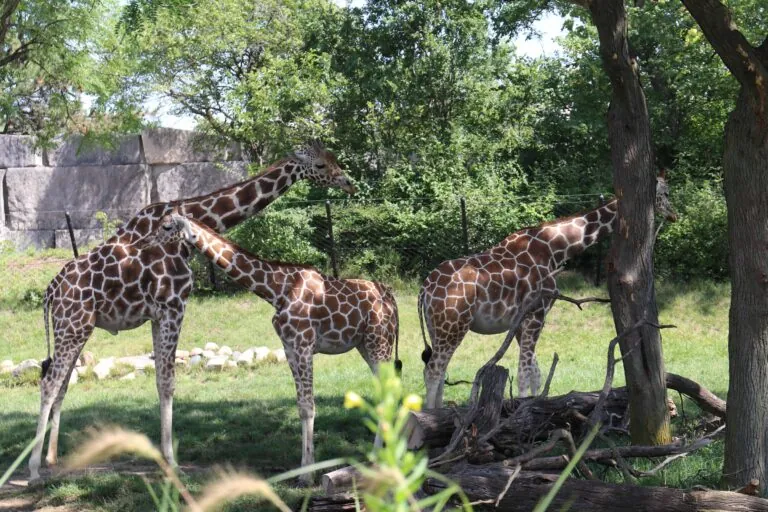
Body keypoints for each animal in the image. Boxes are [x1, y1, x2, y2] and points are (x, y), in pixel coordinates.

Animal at [28, 139, 356, 480]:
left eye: (332, 157)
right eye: (319, 165)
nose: (349, 183)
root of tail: (51, 290)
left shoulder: (158, 314)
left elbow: (161, 381)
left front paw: (164, 457)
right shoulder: (174, 306)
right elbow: (168, 382)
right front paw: (172, 462)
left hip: (77, 327)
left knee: (61, 382)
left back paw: (52, 459)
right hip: (73, 324)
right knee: (49, 382)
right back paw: (34, 468)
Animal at [151, 212, 402, 484]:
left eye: (167, 226)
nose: (148, 245)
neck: (276, 290)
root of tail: (392, 300)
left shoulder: (303, 344)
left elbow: (309, 407)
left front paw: (307, 476)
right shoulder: (290, 347)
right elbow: (301, 406)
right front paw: (304, 468)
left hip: (379, 342)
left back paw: (382, 457)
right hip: (365, 346)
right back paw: (378, 455)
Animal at [420, 173, 680, 408]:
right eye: (665, 193)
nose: (674, 215)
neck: (555, 249)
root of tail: (424, 290)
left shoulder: (522, 320)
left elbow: (536, 372)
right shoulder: (537, 312)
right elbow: (524, 372)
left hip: (437, 328)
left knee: (439, 370)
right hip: (453, 325)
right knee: (433, 370)